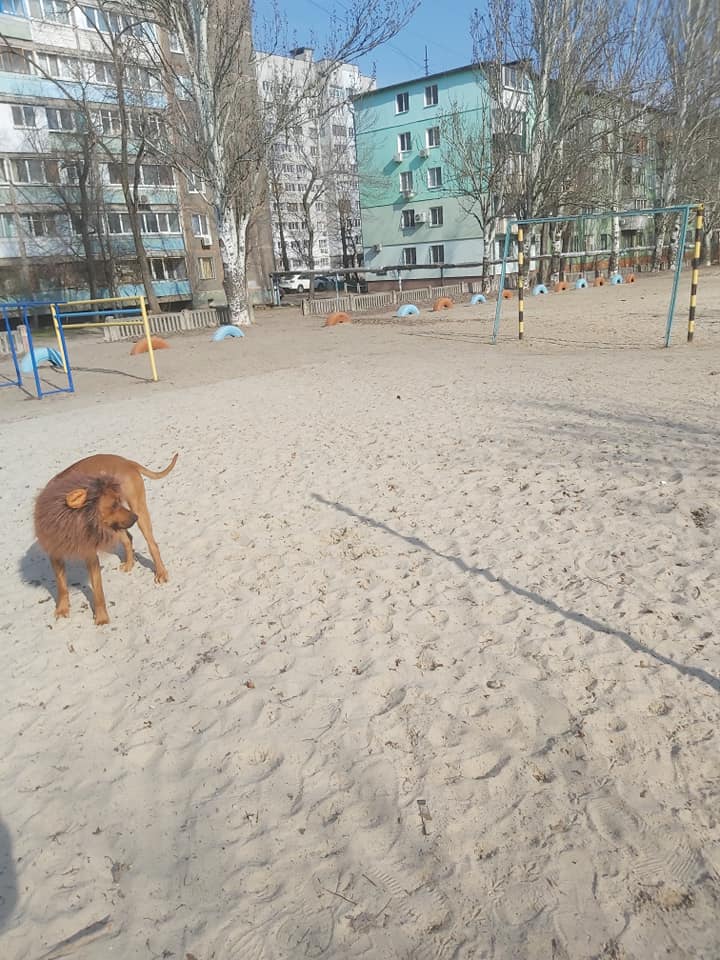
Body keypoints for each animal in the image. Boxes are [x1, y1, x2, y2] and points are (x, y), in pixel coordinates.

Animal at [35, 454, 179, 628]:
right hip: (116, 526)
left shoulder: (90, 555)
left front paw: (101, 618)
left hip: (137, 509)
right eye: (113, 505)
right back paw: (129, 564)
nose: (134, 518)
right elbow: (61, 585)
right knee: (128, 539)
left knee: (152, 544)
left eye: (117, 501)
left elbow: (98, 591)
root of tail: (126, 461)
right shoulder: (55, 554)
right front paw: (62, 609)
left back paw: (161, 572)